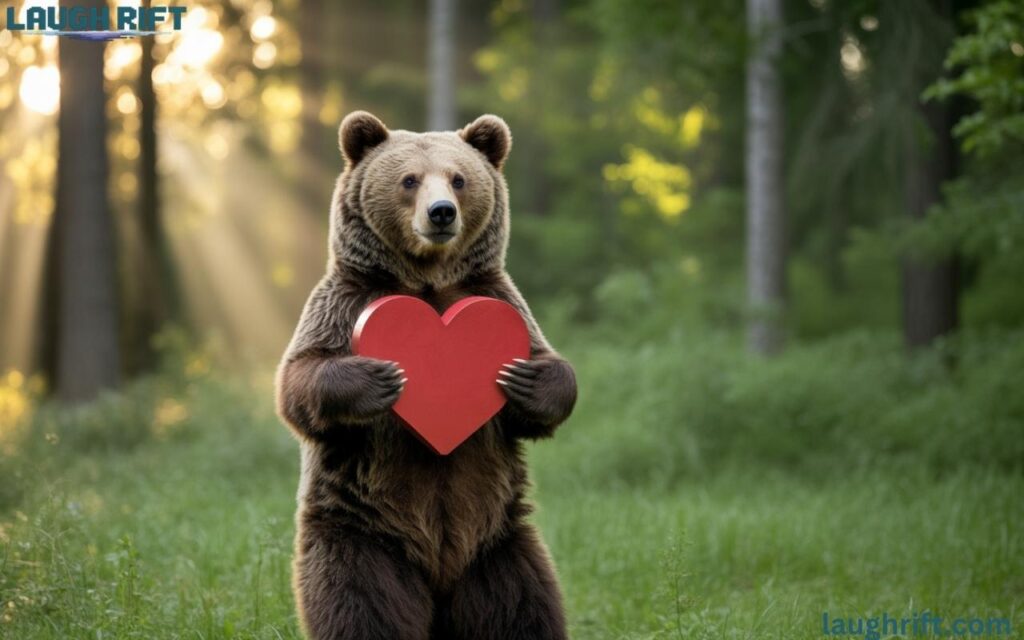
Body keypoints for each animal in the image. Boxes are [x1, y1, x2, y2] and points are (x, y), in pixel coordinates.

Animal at [275, 111, 577, 640]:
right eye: (409, 179)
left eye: (458, 179)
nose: (441, 213)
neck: (428, 281)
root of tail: (439, 581)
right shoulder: (345, 300)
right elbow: (300, 380)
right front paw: (377, 378)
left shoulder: (499, 298)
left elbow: (546, 373)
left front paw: (527, 381)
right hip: (359, 532)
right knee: (362, 607)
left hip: (499, 543)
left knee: (523, 607)